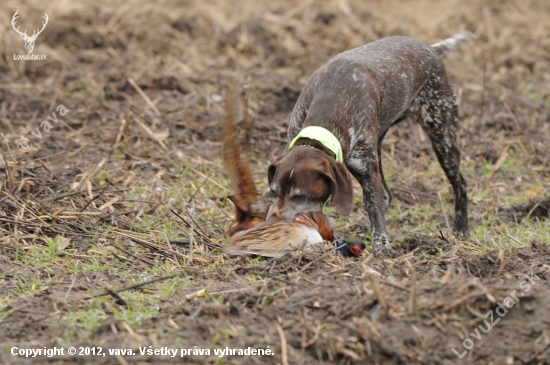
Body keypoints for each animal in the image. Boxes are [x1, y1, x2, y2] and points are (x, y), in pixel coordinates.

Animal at [268, 31, 474, 255]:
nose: (273, 223)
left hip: (442, 138)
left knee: (460, 183)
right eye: (274, 192)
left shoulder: (366, 173)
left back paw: (461, 228)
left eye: (300, 195)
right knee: (385, 195)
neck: (331, 102)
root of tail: (431, 49)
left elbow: (375, 210)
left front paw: (382, 247)